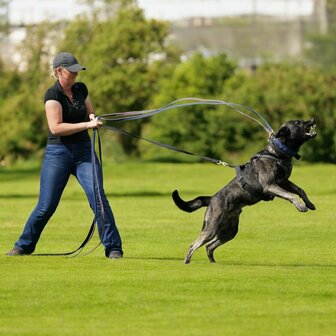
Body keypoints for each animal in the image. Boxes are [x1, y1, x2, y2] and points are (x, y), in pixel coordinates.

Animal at [173, 118, 318, 262]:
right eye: (298, 123)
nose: (313, 119)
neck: (277, 153)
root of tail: (211, 199)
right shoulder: (270, 185)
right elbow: (290, 195)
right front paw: (300, 206)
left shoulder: (284, 182)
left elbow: (300, 190)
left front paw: (309, 204)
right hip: (211, 228)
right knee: (195, 244)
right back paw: (187, 262)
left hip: (229, 231)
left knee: (209, 246)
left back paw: (213, 263)